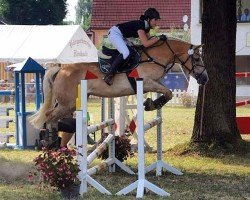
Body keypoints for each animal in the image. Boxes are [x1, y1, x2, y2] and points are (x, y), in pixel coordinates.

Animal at [29, 38, 209, 130]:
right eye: (197, 58)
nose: (204, 79)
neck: (154, 57)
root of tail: (62, 68)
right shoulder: (146, 82)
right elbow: (169, 92)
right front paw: (152, 104)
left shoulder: (155, 82)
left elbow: (167, 92)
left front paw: (152, 103)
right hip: (68, 103)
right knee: (49, 116)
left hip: (71, 103)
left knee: (51, 117)